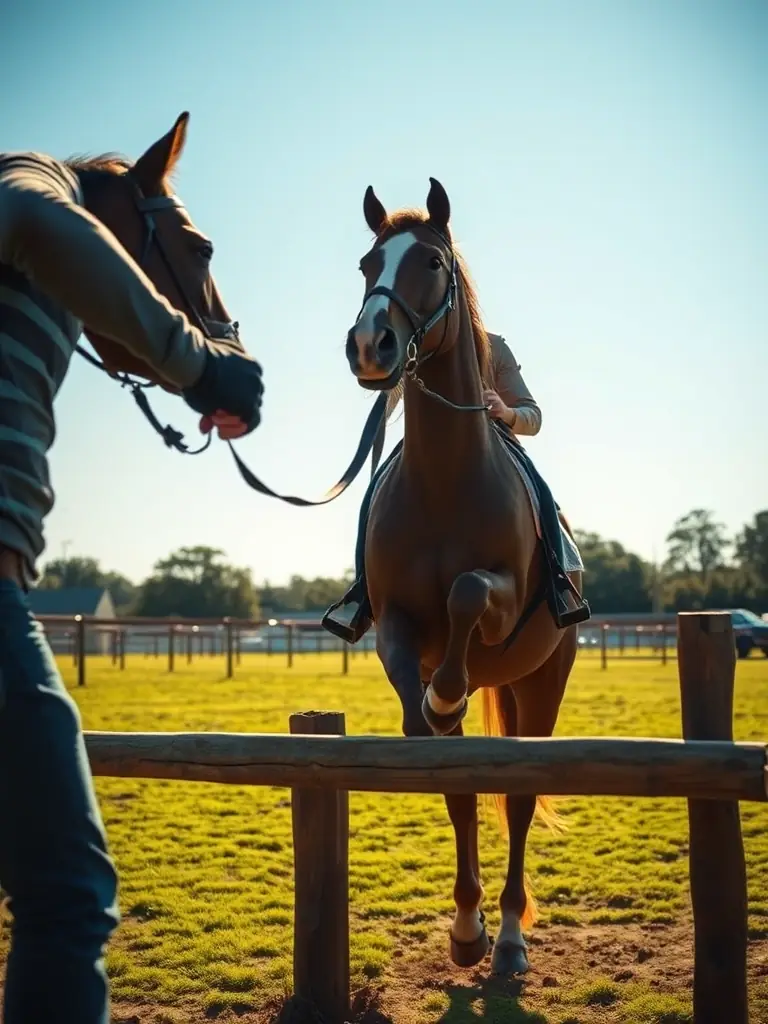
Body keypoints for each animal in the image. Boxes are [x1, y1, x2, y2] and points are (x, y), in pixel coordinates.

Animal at [343, 178, 581, 976]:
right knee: (468, 792)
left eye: (433, 263)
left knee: (516, 800)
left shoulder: (500, 606)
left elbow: (469, 591)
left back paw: (507, 939)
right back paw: (471, 928)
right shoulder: (394, 625)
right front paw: (435, 705)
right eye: (367, 265)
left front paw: (445, 693)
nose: (371, 345)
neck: (444, 479)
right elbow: (428, 731)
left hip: (540, 682)